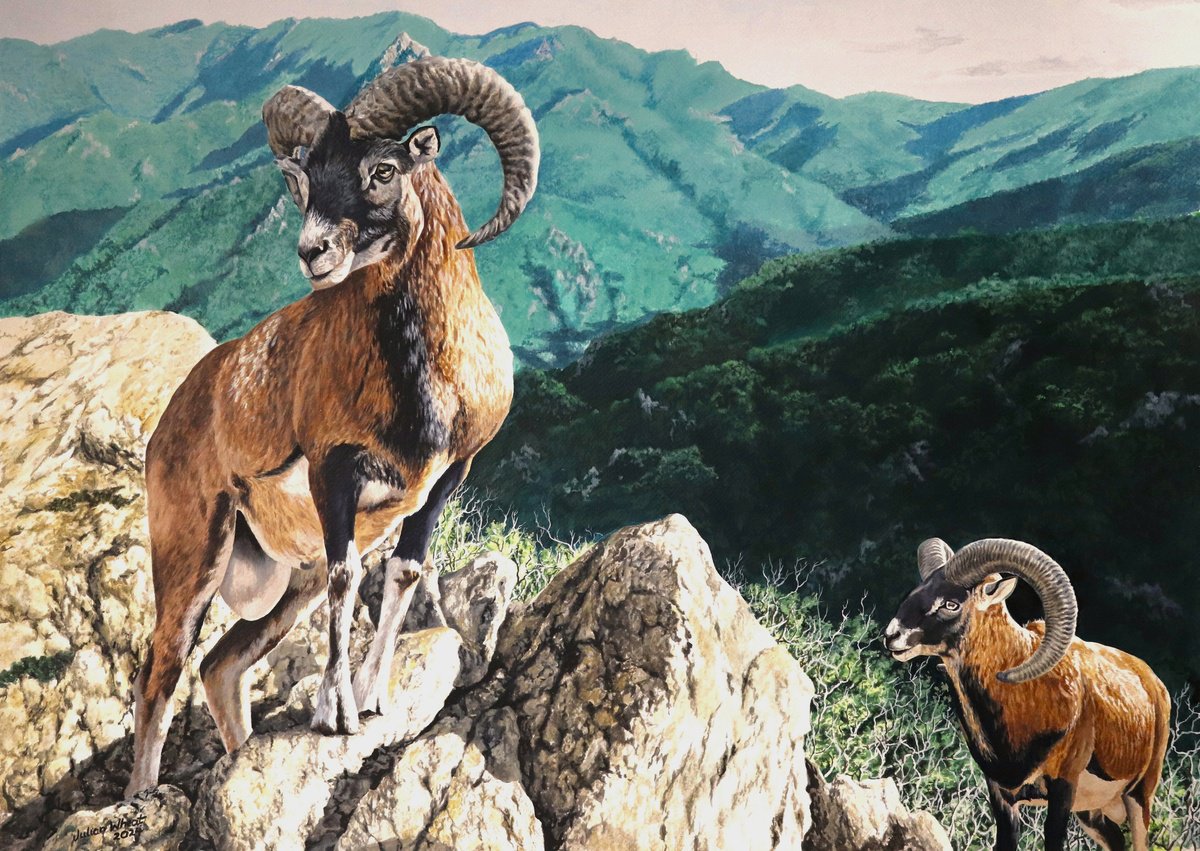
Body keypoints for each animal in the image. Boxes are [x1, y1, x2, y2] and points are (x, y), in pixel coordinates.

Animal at [125, 56, 539, 796]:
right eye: (310, 177)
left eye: (384, 168)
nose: (313, 251)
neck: (424, 381)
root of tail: (171, 419)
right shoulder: (333, 474)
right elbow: (351, 578)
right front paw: (336, 714)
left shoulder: (442, 481)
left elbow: (404, 572)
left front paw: (372, 700)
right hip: (193, 556)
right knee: (161, 673)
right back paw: (139, 797)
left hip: (290, 584)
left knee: (220, 667)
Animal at [883, 537, 1171, 851]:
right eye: (917, 591)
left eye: (950, 604)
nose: (892, 636)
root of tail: (1153, 683)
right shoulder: (1002, 796)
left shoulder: (1062, 788)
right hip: (1090, 814)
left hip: (1139, 797)